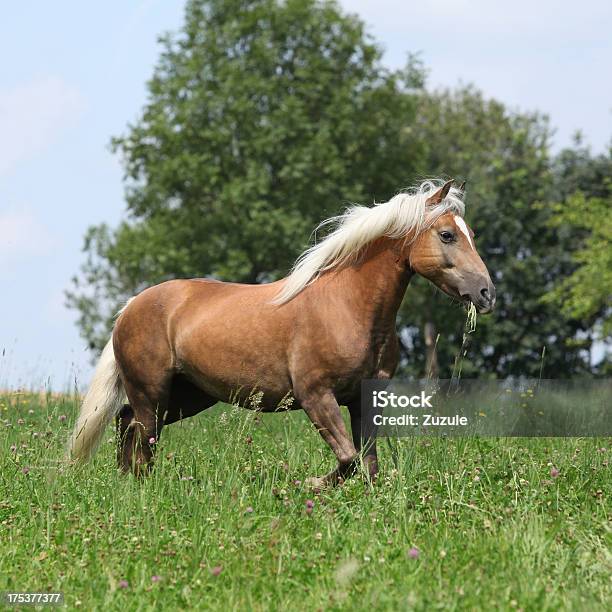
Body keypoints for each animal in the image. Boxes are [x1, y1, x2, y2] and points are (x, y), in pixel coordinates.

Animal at [69, 179, 494, 486]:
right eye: (447, 235)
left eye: (471, 232)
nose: (486, 293)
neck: (348, 307)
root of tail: (130, 307)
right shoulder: (315, 396)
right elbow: (348, 460)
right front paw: (308, 484)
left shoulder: (364, 400)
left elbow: (368, 465)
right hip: (153, 393)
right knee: (141, 438)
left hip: (188, 396)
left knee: (127, 424)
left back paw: (126, 485)